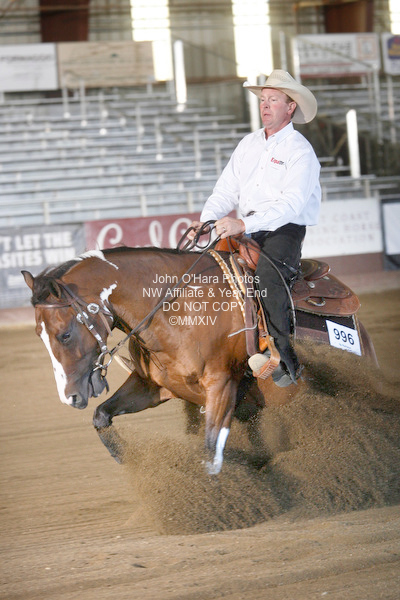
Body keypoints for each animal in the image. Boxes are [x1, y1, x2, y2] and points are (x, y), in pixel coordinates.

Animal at [22, 243, 376, 475]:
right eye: (39, 335)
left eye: (65, 334)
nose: (71, 396)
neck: (176, 311)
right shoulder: (153, 386)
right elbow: (101, 415)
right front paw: (127, 459)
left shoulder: (221, 386)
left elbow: (210, 449)